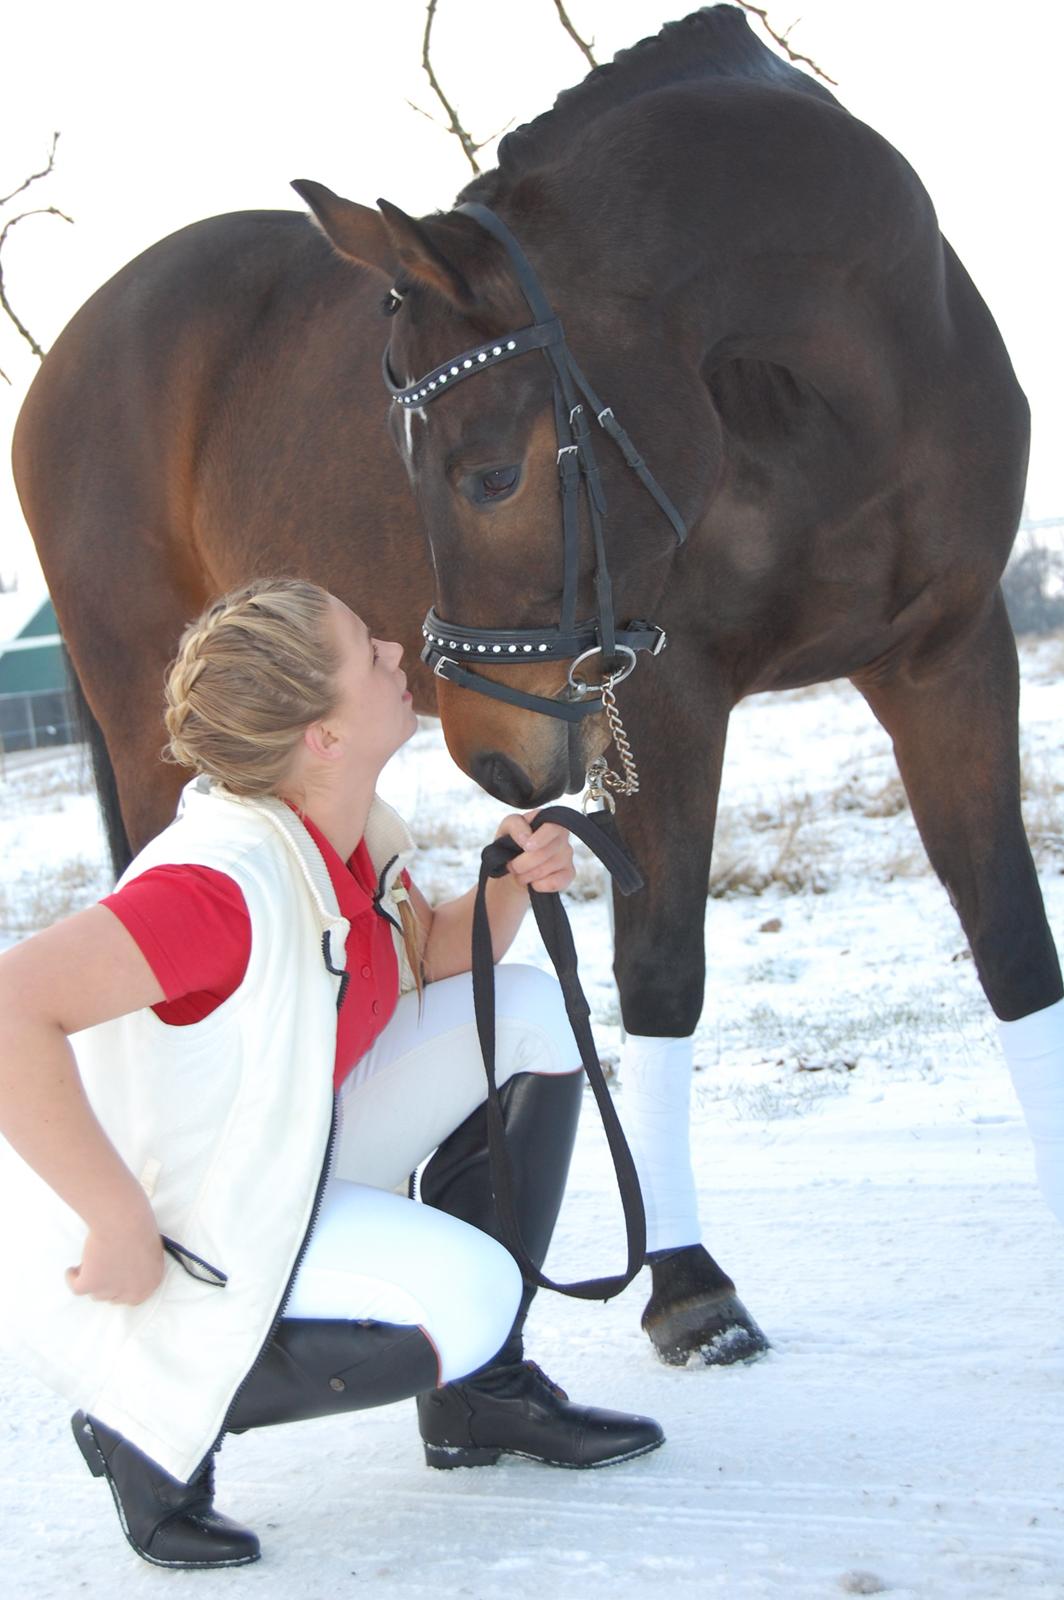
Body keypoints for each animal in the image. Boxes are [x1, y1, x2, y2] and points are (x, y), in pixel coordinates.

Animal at [12, 6, 1056, 1369]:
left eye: (490, 474)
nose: (497, 758)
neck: (844, 385)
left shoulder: (950, 658)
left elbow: (1014, 947)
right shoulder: (666, 694)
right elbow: (661, 971)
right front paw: (688, 1284)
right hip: (148, 713)